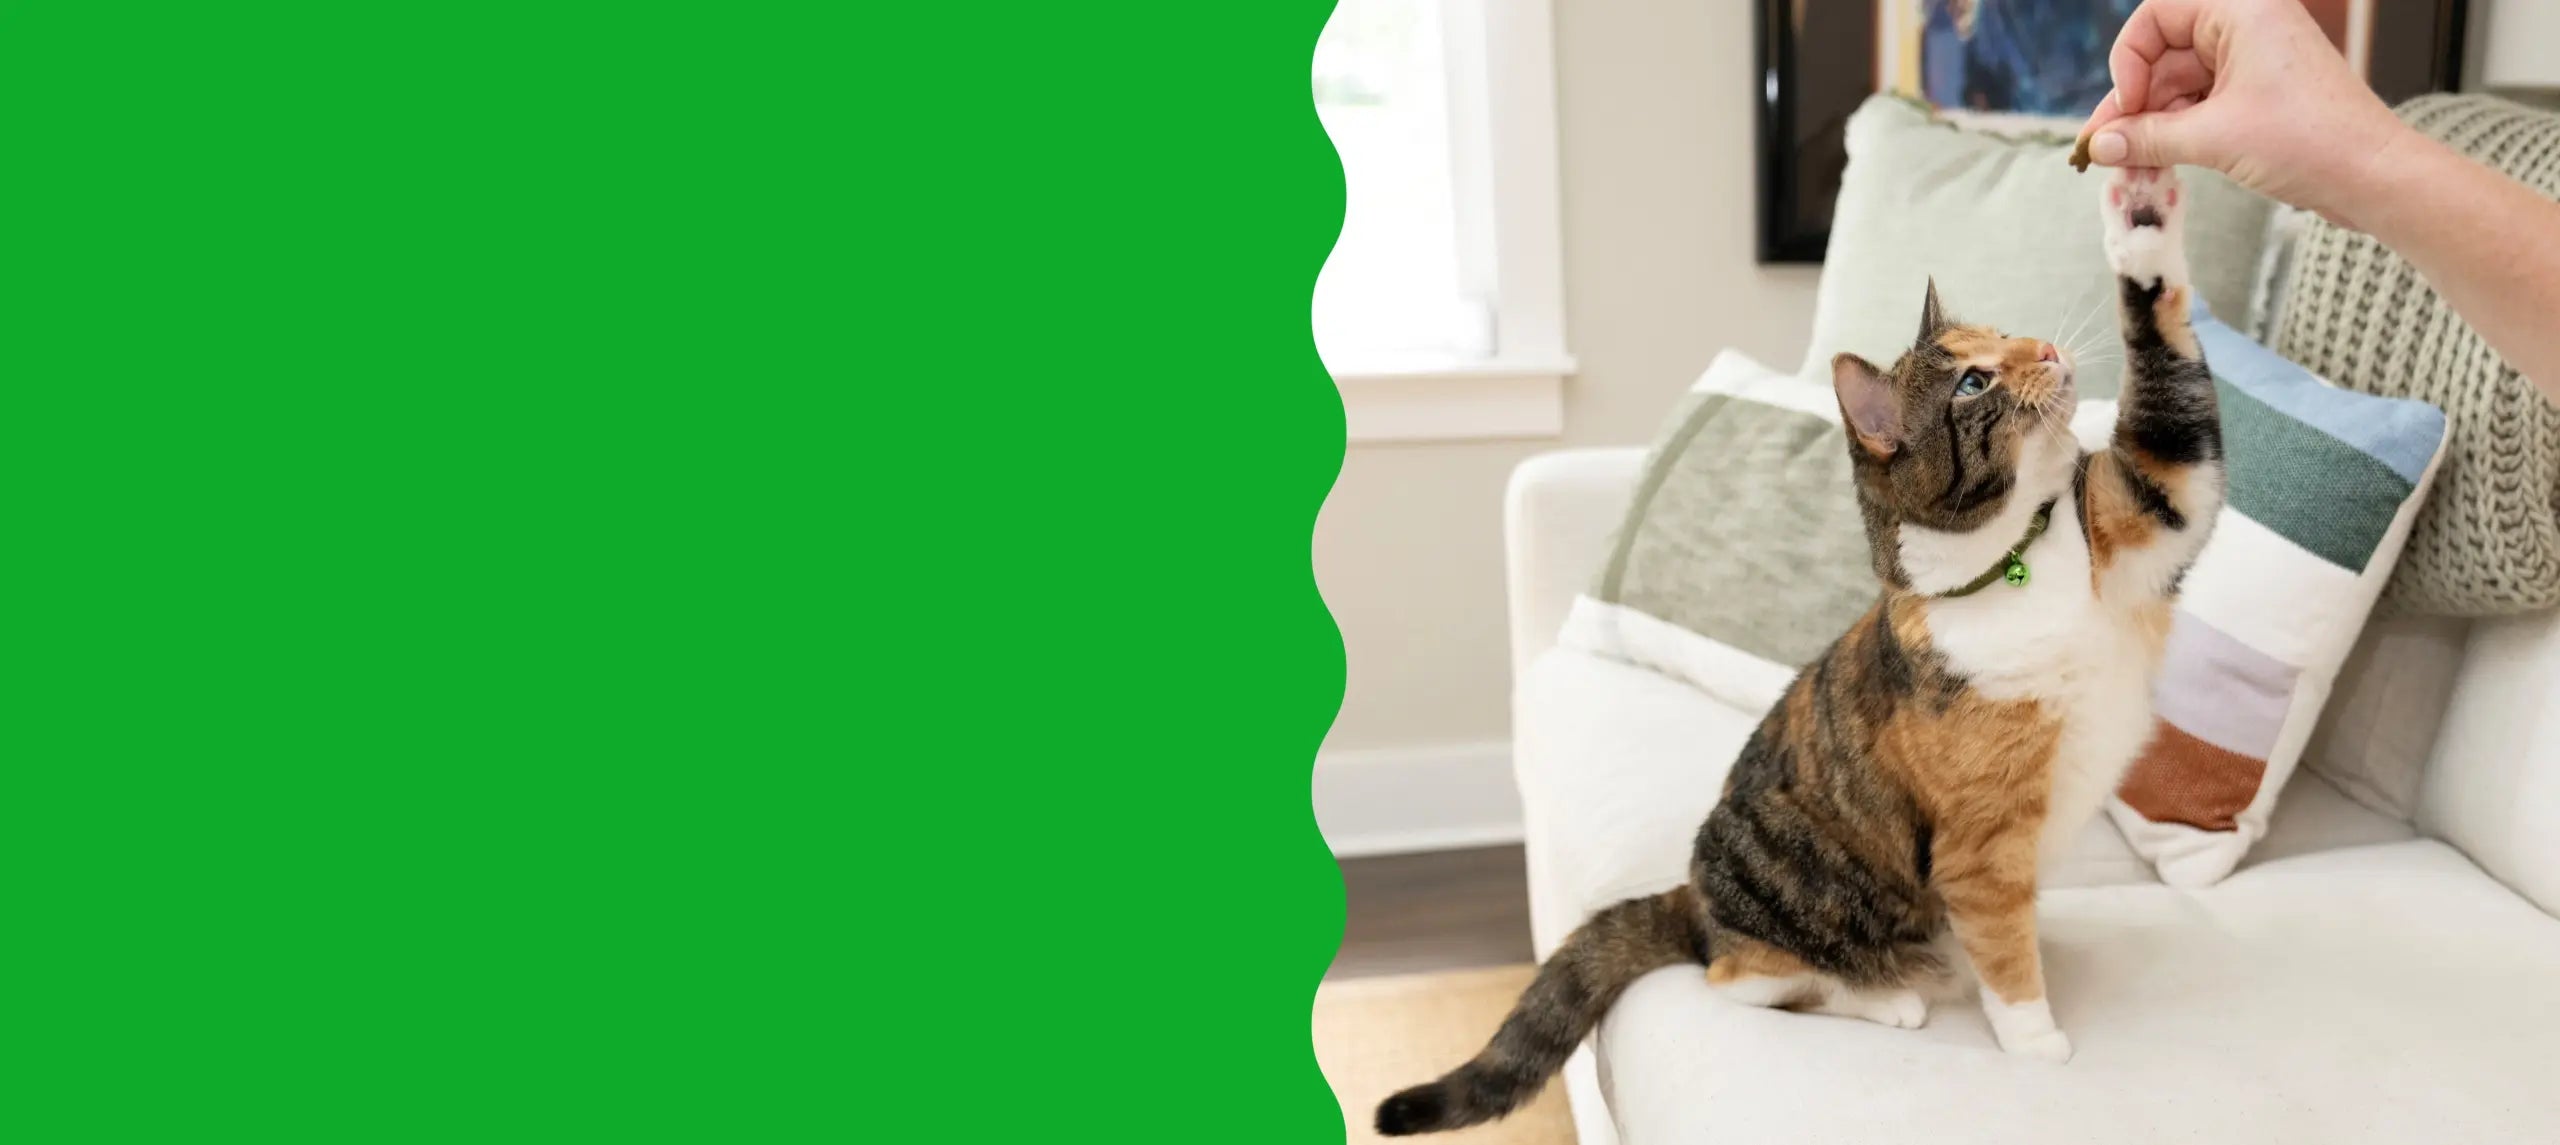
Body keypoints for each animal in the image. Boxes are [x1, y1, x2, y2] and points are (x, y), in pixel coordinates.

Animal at [1382, 163, 2222, 1137]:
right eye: (1973, 381)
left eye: (2005, 332)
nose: (2046, 346)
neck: (2018, 563)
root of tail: (1694, 900)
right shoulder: (1978, 845)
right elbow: (2007, 957)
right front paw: (2036, 1038)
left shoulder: (2147, 515)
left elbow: (2180, 450)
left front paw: (2144, 220)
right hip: (1790, 886)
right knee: (1743, 978)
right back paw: (1889, 995)